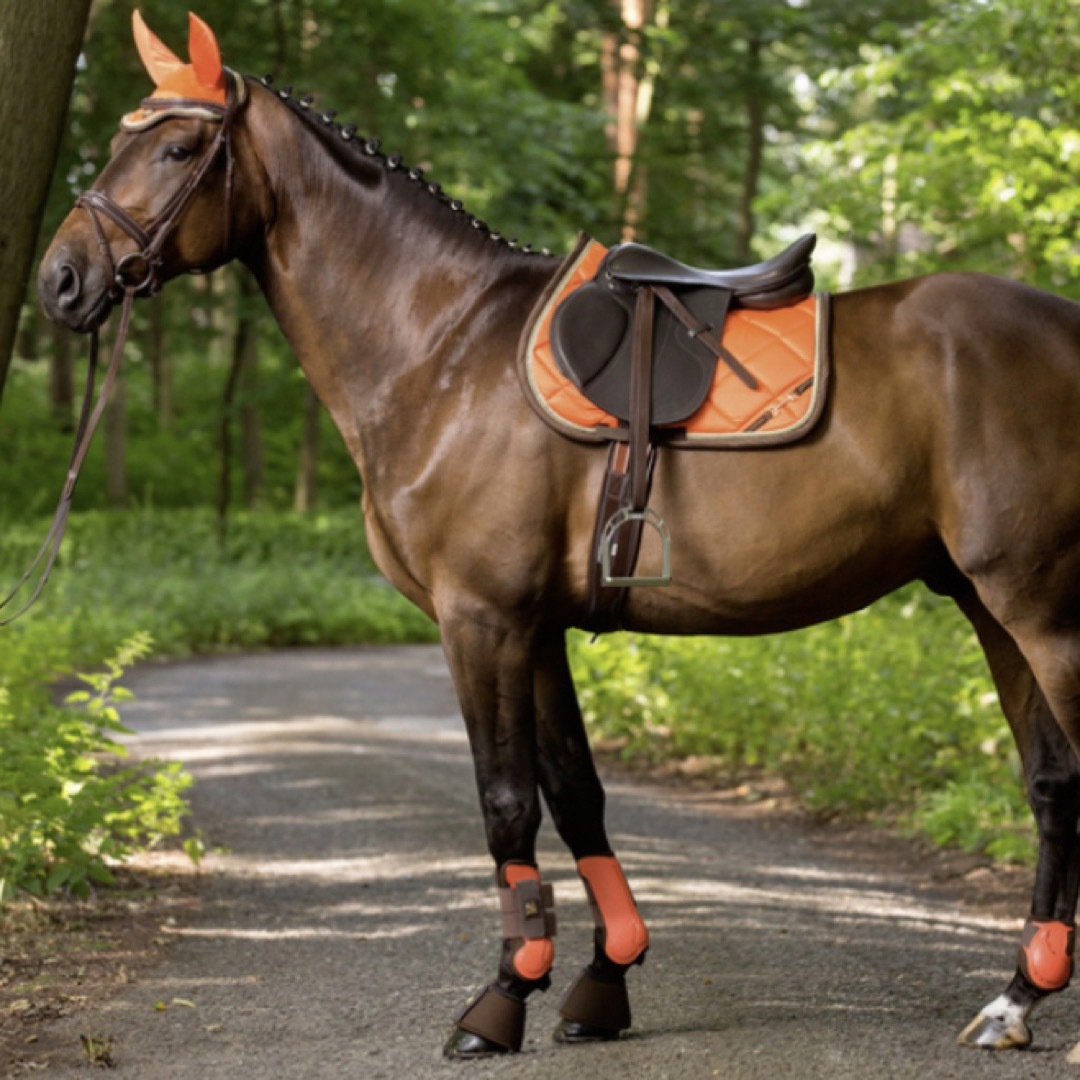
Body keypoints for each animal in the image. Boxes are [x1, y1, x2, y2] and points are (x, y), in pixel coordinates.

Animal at [38, 12, 1080, 1062]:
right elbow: (576, 792)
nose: (61, 281)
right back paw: (1015, 1001)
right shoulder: (536, 626)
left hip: (1042, 612)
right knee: (1050, 784)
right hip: (990, 605)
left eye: (176, 149)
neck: (440, 346)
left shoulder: (481, 620)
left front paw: (501, 1000)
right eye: (124, 136)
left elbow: (506, 803)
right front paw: (603, 980)